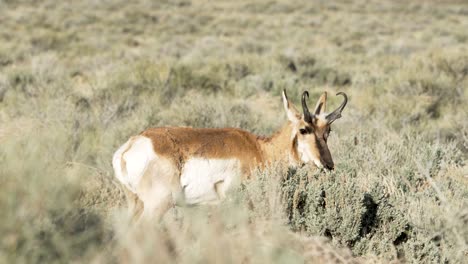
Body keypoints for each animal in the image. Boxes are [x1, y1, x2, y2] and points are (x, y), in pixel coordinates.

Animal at [112, 89, 348, 220]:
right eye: (303, 129)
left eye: (327, 131)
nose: (328, 164)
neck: (261, 149)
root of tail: (131, 145)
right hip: (157, 207)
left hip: (136, 205)